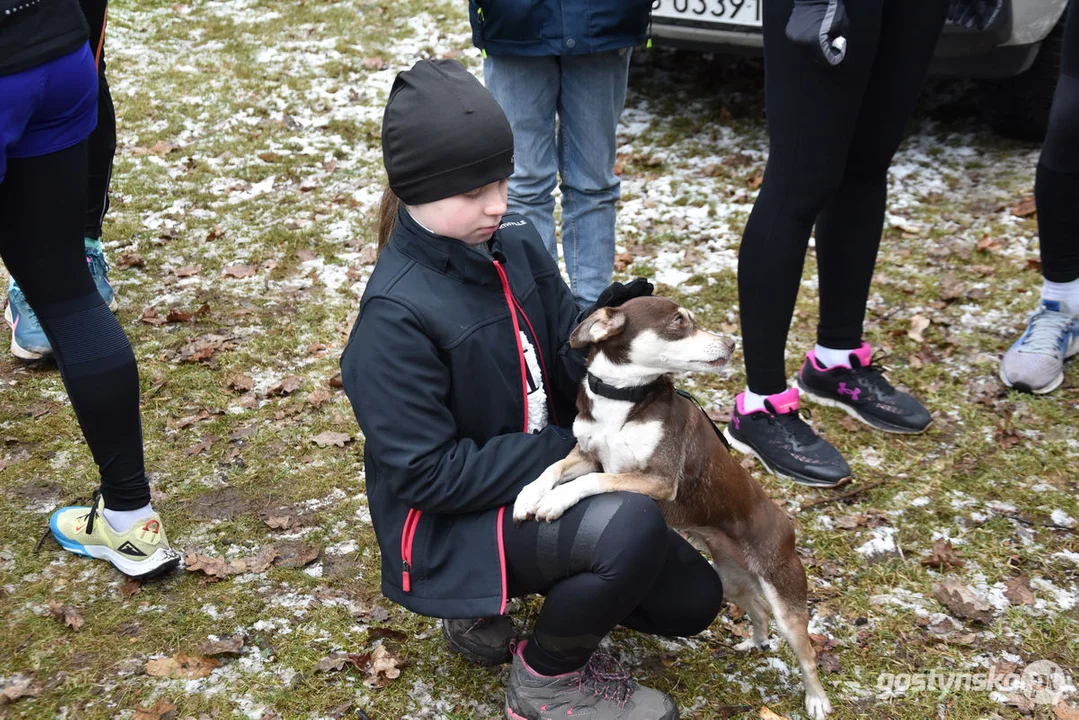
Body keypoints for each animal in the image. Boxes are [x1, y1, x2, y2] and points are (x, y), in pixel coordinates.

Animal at [513, 295, 832, 716]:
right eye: (679, 321)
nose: (731, 343)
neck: (623, 399)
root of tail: (786, 522)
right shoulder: (586, 454)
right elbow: (553, 468)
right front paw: (529, 495)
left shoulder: (657, 480)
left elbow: (591, 482)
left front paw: (554, 501)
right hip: (731, 579)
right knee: (757, 608)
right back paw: (755, 642)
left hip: (785, 596)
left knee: (806, 652)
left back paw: (816, 700)